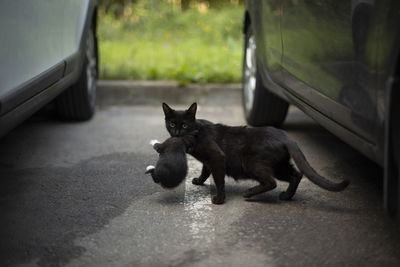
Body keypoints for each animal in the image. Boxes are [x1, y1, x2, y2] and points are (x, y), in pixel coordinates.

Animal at [161, 102, 348, 205]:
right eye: (172, 124)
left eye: (185, 125)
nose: (177, 133)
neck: (197, 131)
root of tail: (286, 136)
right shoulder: (209, 161)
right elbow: (205, 172)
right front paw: (199, 181)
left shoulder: (216, 157)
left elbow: (219, 180)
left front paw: (219, 199)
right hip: (279, 165)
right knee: (296, 175)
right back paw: (287, 196)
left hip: (252, 163)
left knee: (271, 182)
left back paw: (249, 193)